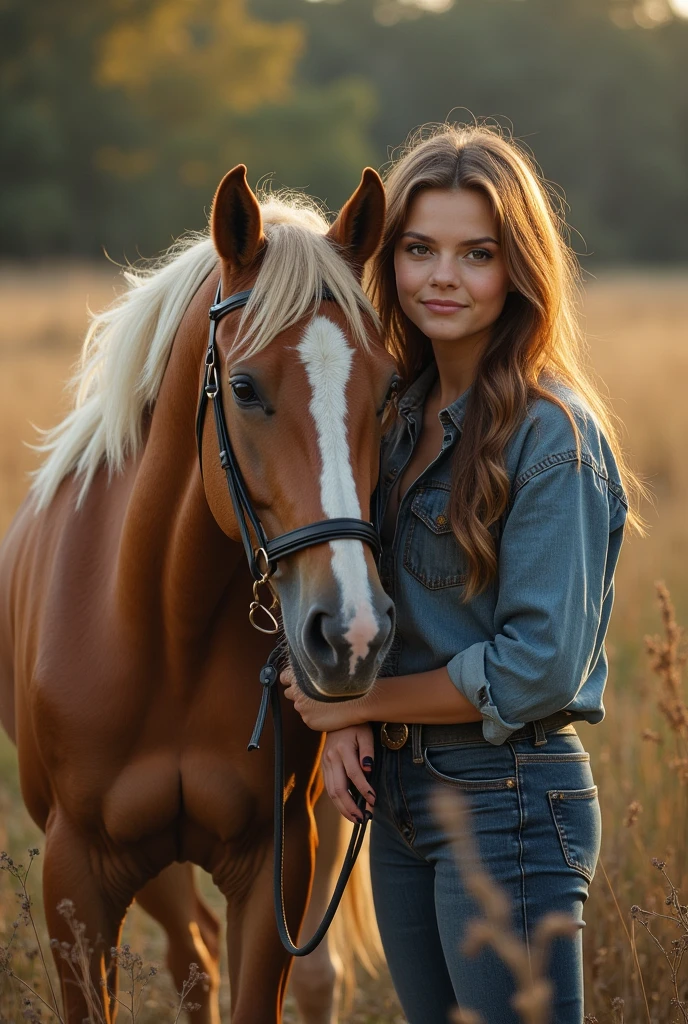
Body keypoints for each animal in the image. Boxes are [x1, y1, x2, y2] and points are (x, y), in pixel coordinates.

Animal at [0, 163, 395, 1019]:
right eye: (242, 388)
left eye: (390, 390)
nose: (352, 634)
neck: (162, 627)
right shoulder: (76, 879)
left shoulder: (277, 860)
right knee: (194, 959)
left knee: (312, 974)